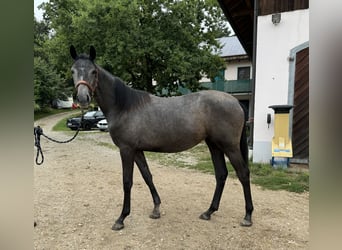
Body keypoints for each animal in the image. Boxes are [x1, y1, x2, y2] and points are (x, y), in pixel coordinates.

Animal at [69, 45, 252, 230]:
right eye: (73, 71)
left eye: (93, 72)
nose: (82, 98)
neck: (124, 106)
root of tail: (236, 102)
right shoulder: (137, 151)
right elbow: (147, 176)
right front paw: (156, 209)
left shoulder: (126, 150)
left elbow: (127, 182)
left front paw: (121, 218)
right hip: (214, 145)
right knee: (221, 175)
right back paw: (209, 212)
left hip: (230, 147)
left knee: (243, 174)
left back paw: (247, 216)